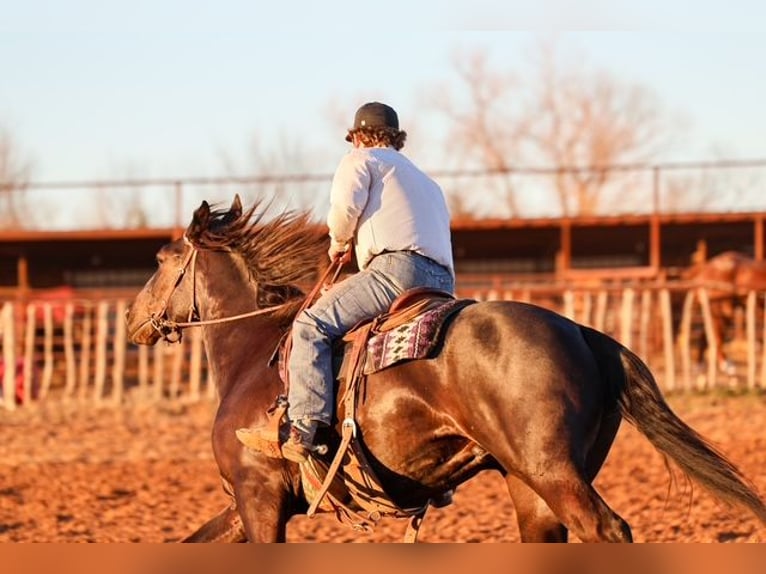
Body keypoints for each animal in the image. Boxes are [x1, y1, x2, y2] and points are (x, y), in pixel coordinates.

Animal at [125, 196, 766, 542]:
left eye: (161, 259)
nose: (133, 318)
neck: (254, 349)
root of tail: (585, 333)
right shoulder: (249, 502)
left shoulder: (258, 495)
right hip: (528, 481)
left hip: (552, 471)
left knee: (607, 530)